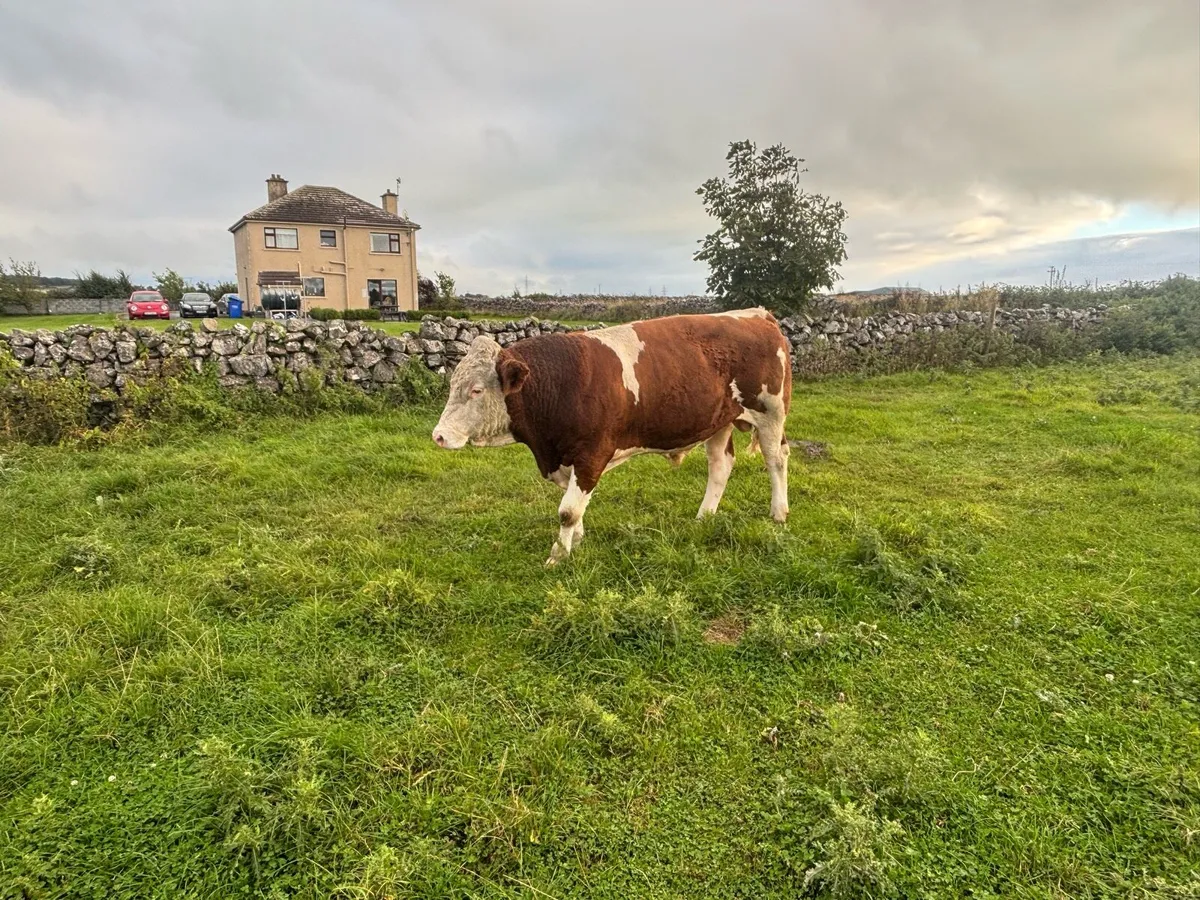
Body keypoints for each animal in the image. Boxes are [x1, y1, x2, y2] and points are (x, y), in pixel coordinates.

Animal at [431, 308, 792, 565]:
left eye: (477, 390)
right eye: (453, 384)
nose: (438, 436)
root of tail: (758, 314)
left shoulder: (592, 454)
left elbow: (567, 510)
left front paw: (558, 556)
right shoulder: (566, 459)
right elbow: (574, 506)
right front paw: (576, 542)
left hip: (771, 412)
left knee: (776, 459)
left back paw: (778, 513)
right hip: (717, 422)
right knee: (720, 465)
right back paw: (704, 516)